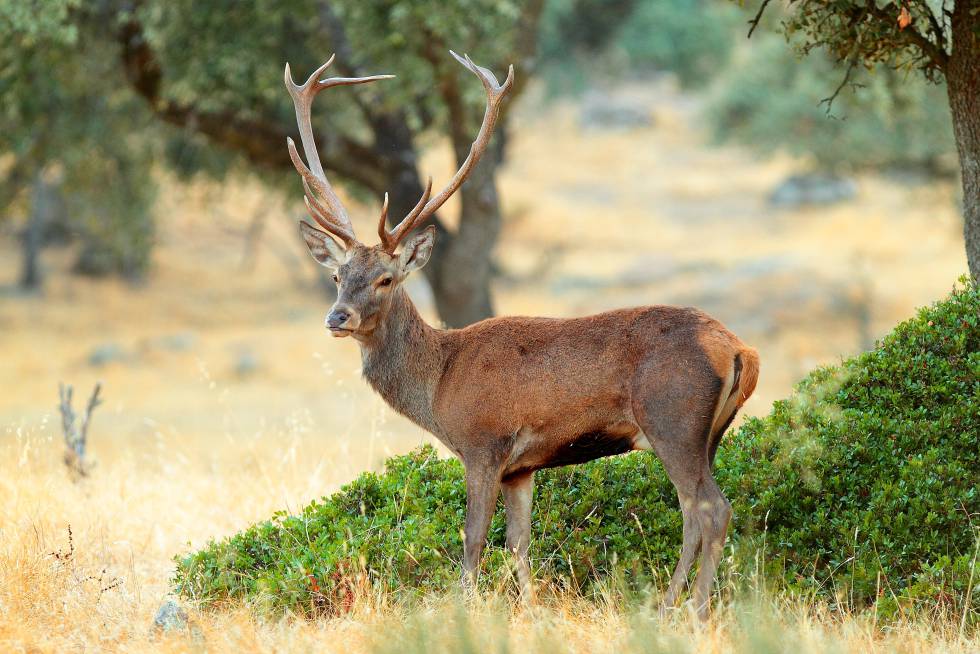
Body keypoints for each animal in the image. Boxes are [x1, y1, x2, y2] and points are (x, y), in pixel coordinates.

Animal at [284, 51, 760, 618]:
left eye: (385, 279)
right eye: (339, 275)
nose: (338, 318)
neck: (439, 383)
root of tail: (740, 350)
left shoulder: (483, 443)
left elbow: (472, 539)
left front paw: (463, 611)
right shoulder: (521, 468)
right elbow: (518, 543)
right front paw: (530, 610)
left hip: (673, 419)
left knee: (710, 508)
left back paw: (691, 610)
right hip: (710, 434)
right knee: (696, 513)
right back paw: (672, 605)